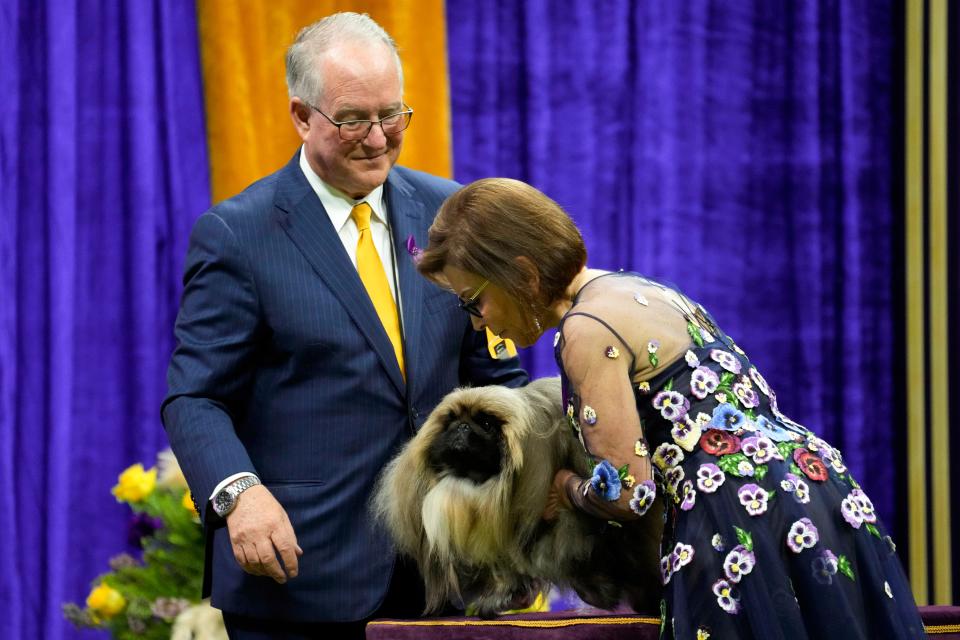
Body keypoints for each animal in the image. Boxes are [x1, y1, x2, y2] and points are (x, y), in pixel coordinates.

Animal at [372, 378, 664, 616]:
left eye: (486, 424)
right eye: (450, 420)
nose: (462, 426)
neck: (480, 483)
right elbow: (504, 569)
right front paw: (500, 597)